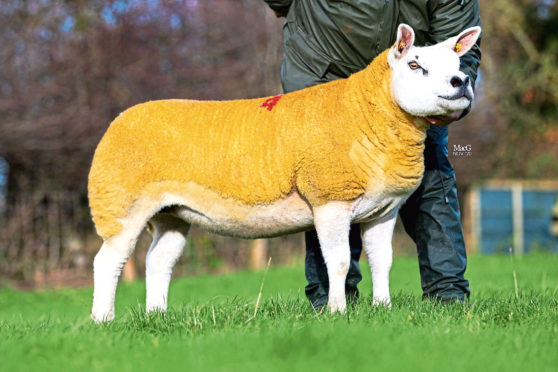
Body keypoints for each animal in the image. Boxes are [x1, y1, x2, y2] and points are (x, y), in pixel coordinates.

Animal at [87, 24, 482, 322]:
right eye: (414, 64)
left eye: (458, 61)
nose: (461, 81)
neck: (364, 113)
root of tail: (120, 118)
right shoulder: (329, 199)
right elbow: (338, 262)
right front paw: (338, 311)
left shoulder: (383, 209)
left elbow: (382, 261)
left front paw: (382, 308)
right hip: (119, 203)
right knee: (107, 261)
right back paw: (103, 320)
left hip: (172, 213)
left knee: (157, 261)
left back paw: (157, 316)